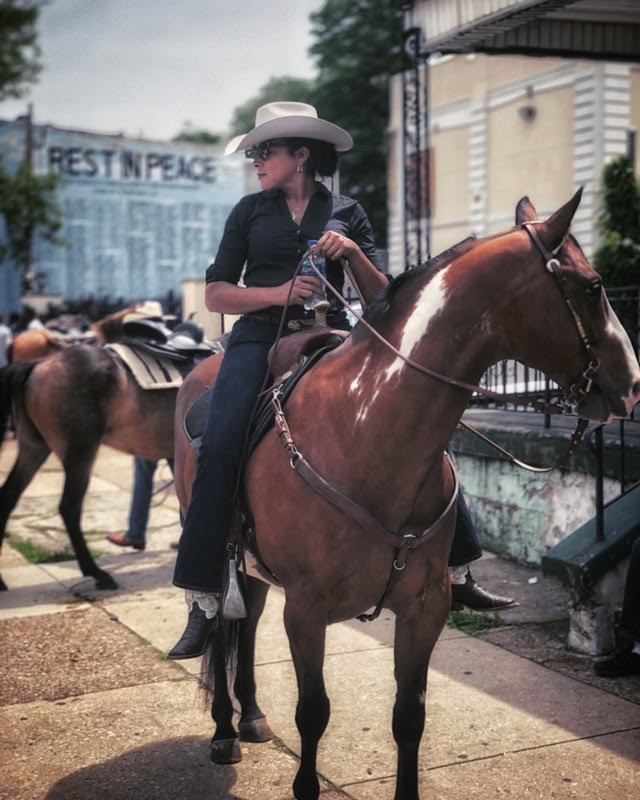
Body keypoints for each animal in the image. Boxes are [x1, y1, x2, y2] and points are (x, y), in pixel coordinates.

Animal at [171, 192, 640, 800]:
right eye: (593, 285)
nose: (631, 385)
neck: (366, 431)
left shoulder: (425, 607)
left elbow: (409, 716)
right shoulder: (306, 610)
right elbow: (313, 712)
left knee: (245, 624)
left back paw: (249, 716)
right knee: (222, 627)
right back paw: (225, 728)